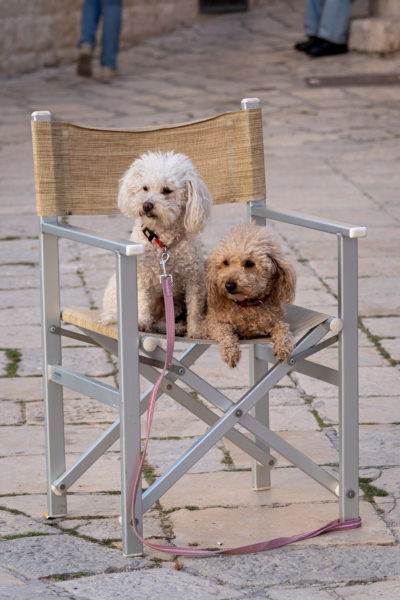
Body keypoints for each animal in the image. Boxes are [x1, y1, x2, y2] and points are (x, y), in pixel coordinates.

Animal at [101, 150, 212, 338]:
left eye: (167, 190)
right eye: (145, 188)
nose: (147, 205)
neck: (163, 243)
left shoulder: (194, 280)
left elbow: (195, 309)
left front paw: (195, 331)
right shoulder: (141, 278)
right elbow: (142, 301)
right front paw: (142, 323)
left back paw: (177, 327)